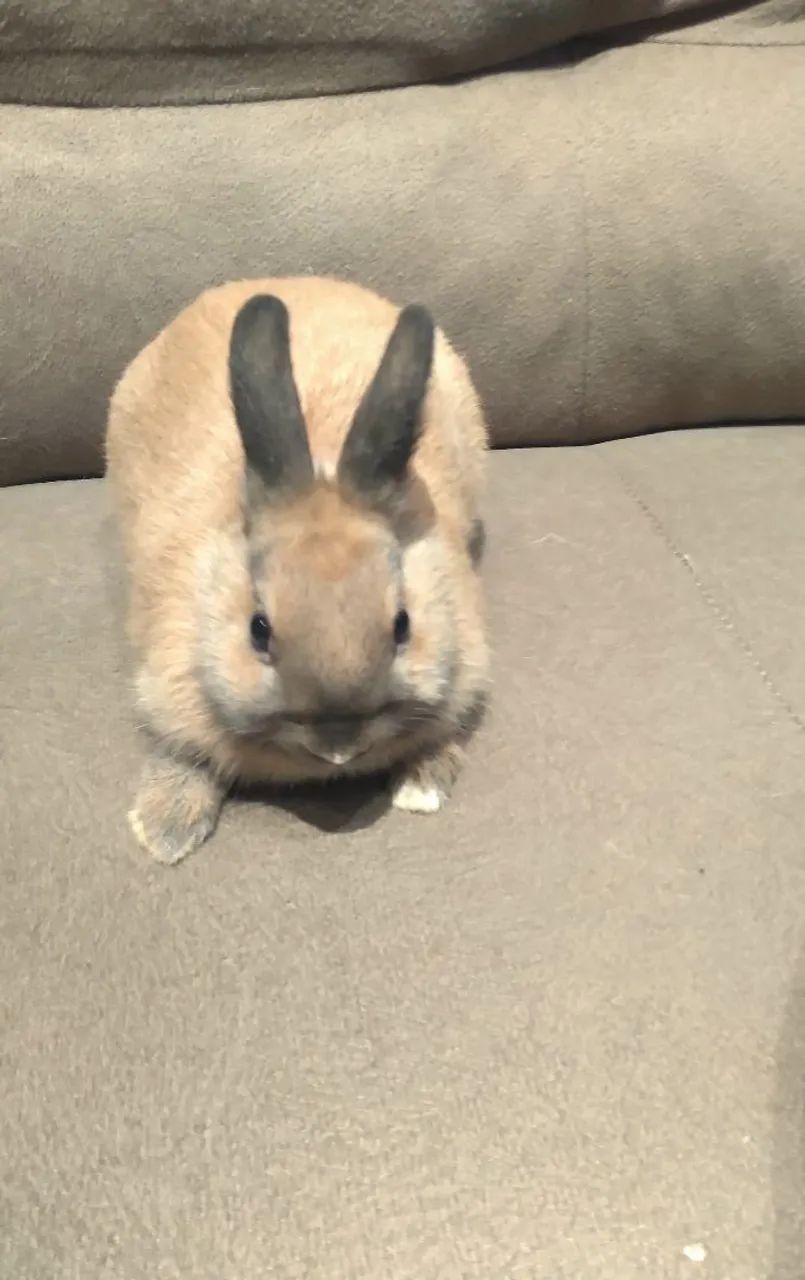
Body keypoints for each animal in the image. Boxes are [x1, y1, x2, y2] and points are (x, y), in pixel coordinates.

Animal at [106, 277, 489, 864]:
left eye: (403, 625)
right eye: (258, 630)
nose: (338, 746)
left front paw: (422, 786)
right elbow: (183, 751)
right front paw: (164, 829)